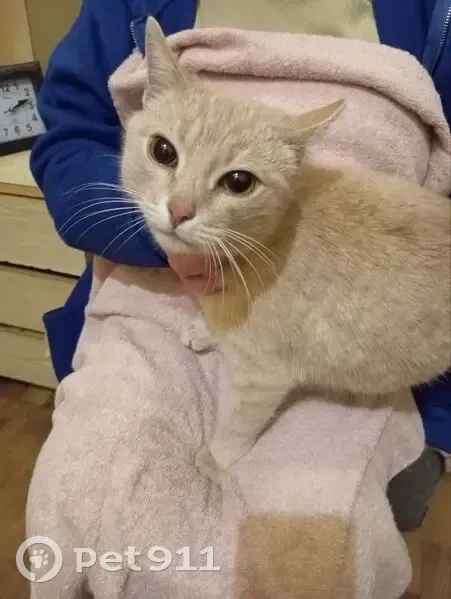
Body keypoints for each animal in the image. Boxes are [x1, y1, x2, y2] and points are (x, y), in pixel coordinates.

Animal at [121, 18, 451, 480]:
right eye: (163, 151)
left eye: (239, 182)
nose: (180, 209)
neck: (268, 243)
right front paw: (207, 331)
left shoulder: (265, 376)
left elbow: (240, 422)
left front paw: (216, 458)